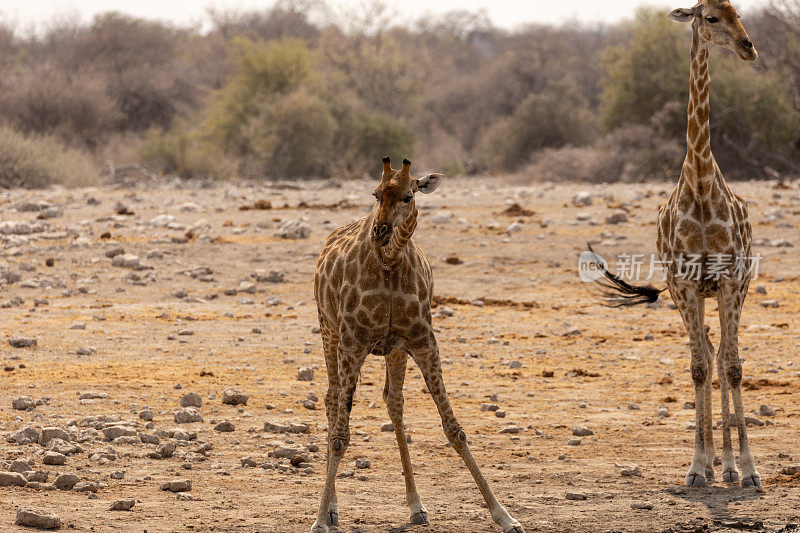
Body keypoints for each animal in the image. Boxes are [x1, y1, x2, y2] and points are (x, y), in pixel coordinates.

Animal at [308, 156, 524, 528]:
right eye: (376, 193)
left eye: (409, 196)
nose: (380, 231)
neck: (390, 262)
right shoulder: (352, 342)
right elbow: (340, 436)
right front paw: (321, 519)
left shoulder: (423, 340)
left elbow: (454, 429)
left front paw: (504, 515)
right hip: (329, 331)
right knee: (332, 400)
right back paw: (333, 508)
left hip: (393, 349)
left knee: (393, 402)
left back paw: (416, 506)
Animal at [584, 0, 760, 488]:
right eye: (711, 17)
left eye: (739, 12)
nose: (748, 47)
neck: (699, 183)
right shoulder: (684, 284)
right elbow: (699, 367)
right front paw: (697, 467)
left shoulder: (729, 279)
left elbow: (733, 367)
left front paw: (749, 470)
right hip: (694, 296)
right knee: (709, 359)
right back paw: (717, 463)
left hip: (730, 290)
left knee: (725, 360)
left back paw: (732, 466)